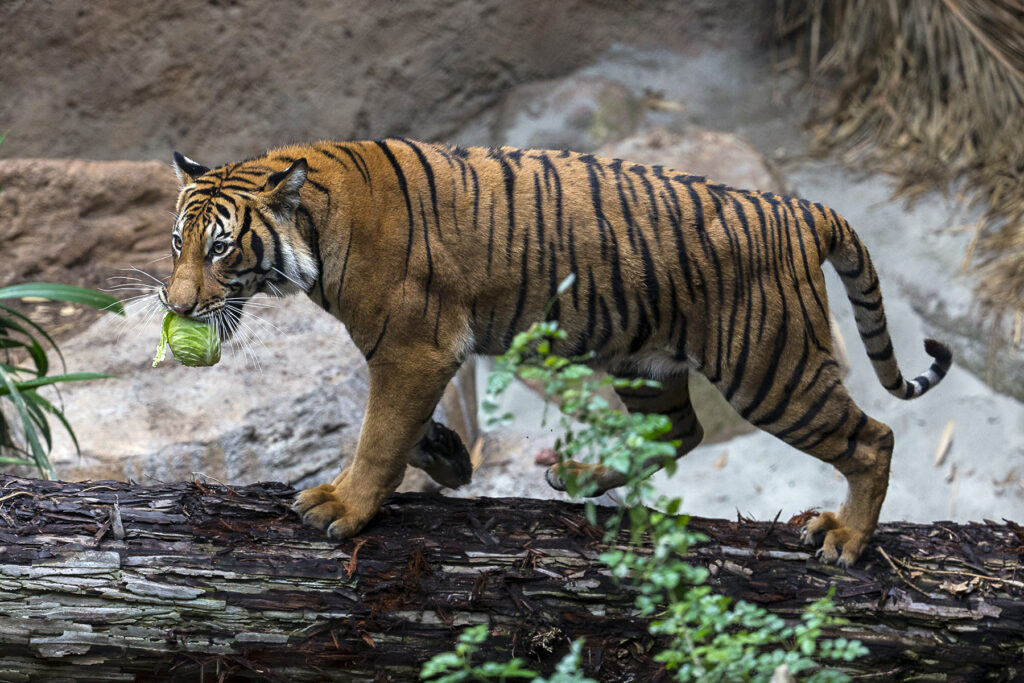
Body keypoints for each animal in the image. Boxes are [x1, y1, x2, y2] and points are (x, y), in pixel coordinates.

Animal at [159, 136, 950, 569]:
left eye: (221, 248)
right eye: (177, 242)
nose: (177, 304)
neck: (317, 228)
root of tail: (802, 208)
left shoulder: (416, 348)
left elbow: (378, 436)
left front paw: (342, 507)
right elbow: (397, 428)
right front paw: (445, 454)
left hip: (769, 370)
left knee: (873, 438)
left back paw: (846, 539)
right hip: (645, 360)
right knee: (680, 429)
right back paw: (579, 476)